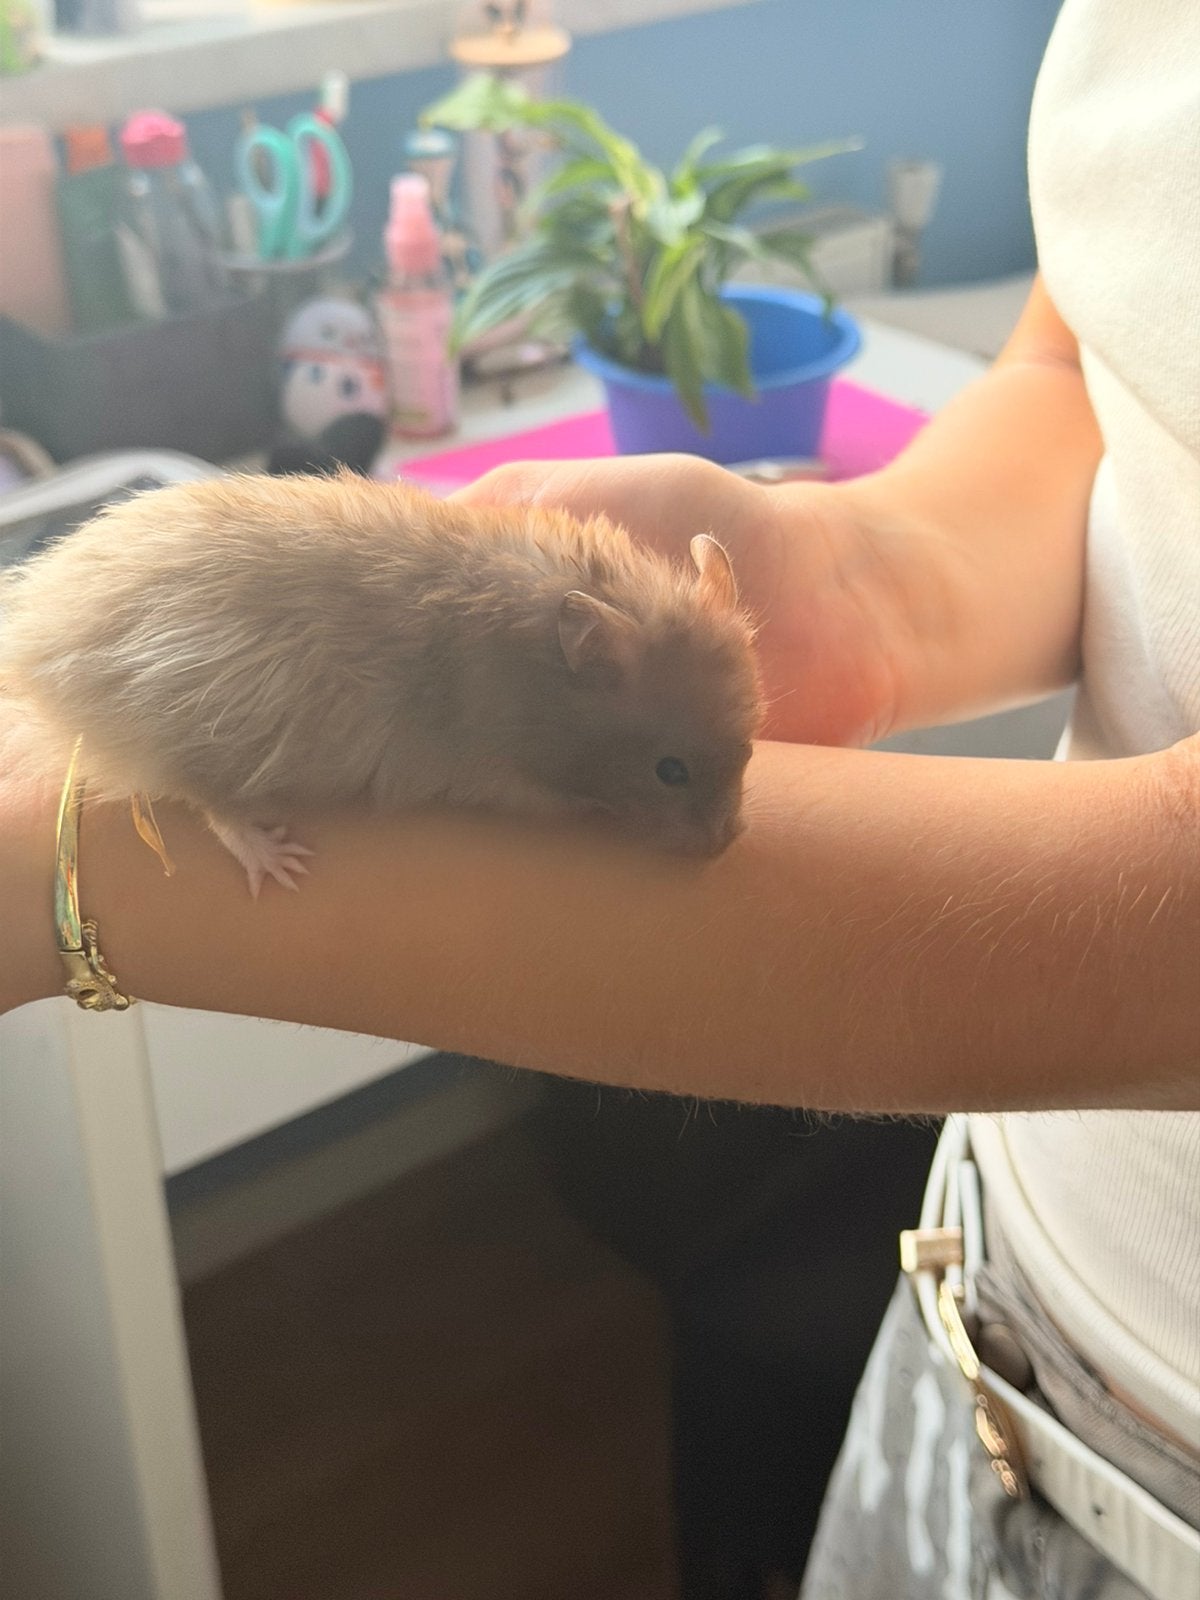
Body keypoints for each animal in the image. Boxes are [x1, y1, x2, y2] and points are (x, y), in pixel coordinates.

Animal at [0, 471, 763, 894]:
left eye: (750, 751)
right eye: (670, 771)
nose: (725, 847)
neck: (534, 676)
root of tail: (34, 641)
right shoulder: (505, 778)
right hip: (190, 728)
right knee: (210, 807)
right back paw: (279, 862)